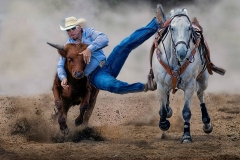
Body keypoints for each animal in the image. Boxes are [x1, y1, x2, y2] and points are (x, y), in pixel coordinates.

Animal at [153, 8, 213, 143]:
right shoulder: (161, 84)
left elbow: (186, 112)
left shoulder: (190, 85)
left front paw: (186, 136)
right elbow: (162, 110)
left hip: (203, 79)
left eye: (189, 28)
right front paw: (164, 123)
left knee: (200, 95)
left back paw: (207, 123)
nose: (181, 52)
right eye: (172, 28)